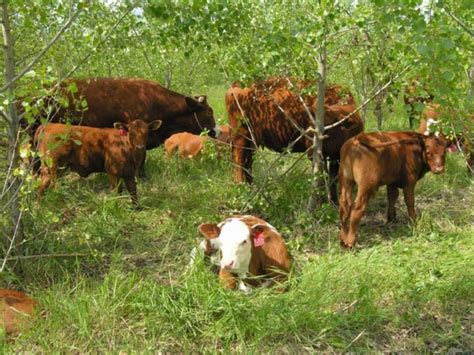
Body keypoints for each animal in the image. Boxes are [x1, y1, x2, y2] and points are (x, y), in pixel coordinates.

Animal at [226, 76, 362, 202]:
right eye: (312, 121)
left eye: (327, 123)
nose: (310, 141)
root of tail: (234, 86)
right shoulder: (321, 156)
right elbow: (321, 178)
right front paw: (322, 201)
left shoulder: (336, 157)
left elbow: (332, 179)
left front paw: (333, 202)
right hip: (241, 137)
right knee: (240, 161)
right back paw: (242, 189)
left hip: (251, 142)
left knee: (247, 163)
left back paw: (252, 189)